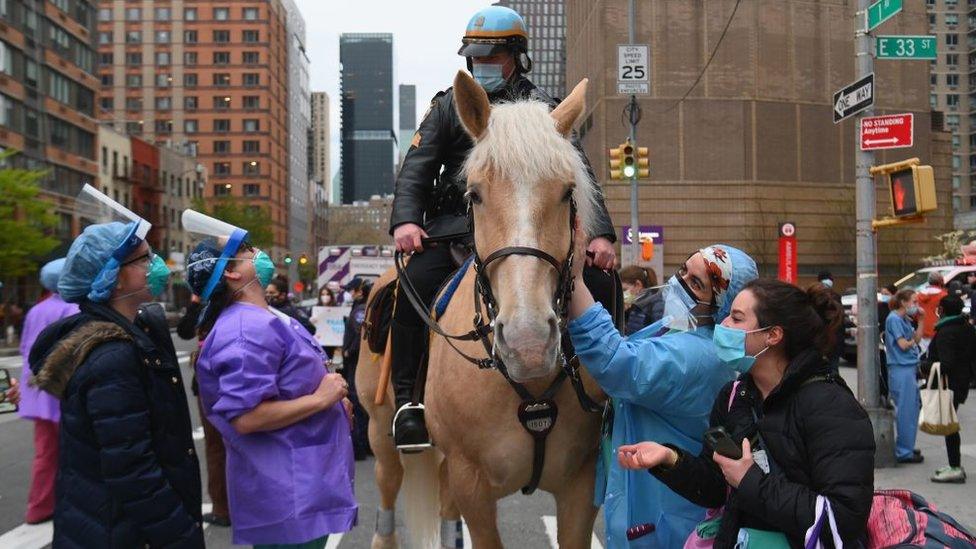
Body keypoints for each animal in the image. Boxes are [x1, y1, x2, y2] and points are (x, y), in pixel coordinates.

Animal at [354, 70, 608, 544]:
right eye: (474, 194)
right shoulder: (471, 481)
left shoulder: (581, 484)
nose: (528, 343)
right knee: (386, 500)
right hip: (382, 437)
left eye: (567, 191)